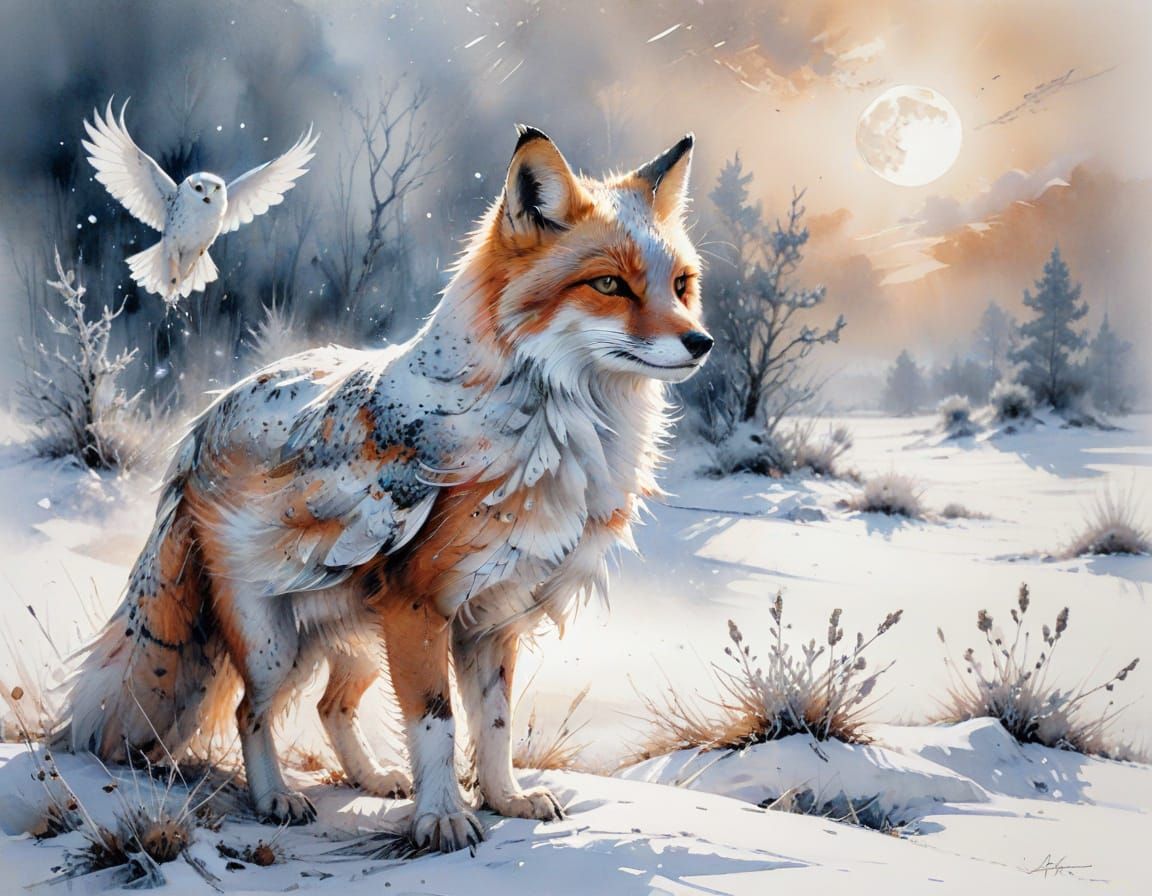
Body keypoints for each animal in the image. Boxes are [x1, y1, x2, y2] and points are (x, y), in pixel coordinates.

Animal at [56, 126, 712, 853]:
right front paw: (443, 819)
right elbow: (437, 722)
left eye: (681, 285)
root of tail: (203, 423)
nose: (701, 342)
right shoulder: (419, 607)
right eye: (609, 285)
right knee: (251, 712)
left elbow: (495, 725)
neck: (550, 431)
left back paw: (370, 779)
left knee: (328, 704)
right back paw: (275, 798)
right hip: (275, 644)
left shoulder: (492, 618)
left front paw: (504, 800)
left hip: (357, 643)